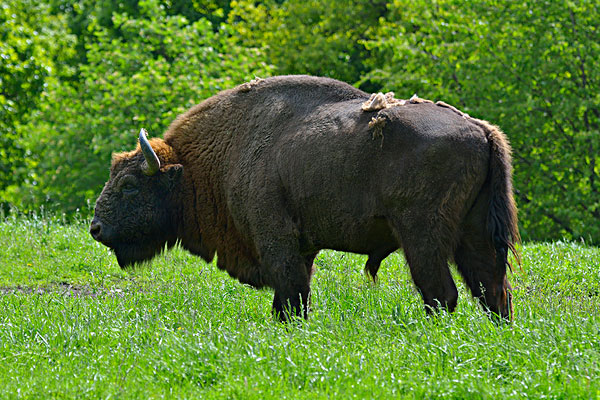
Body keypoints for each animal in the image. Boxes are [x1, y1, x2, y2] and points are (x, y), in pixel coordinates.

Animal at [90, 75, 520, 320]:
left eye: (129, 184)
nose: (95, 228)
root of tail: (482, 130)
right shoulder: (303, 246)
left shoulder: (276, 240)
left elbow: (291, 293)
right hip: (474, 233)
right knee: (492, 289)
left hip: (422, 236)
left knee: (442, 293)